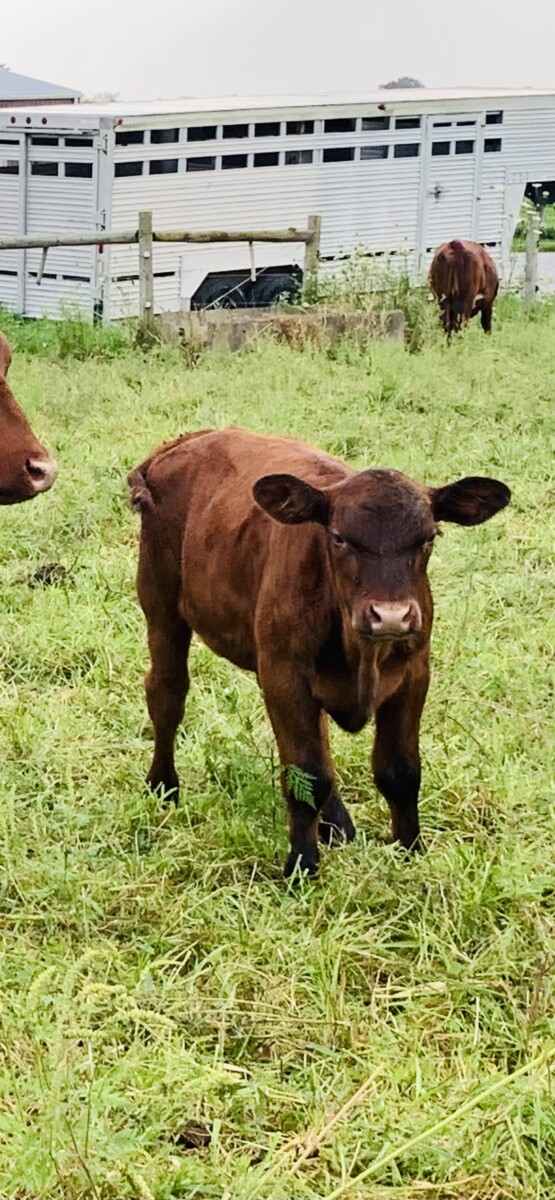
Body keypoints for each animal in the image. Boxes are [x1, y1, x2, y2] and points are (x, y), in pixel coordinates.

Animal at [129, 428, 510, 878]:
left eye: (429, 537)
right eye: (339, 537)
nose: (391, 616)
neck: (360, 654)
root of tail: (186, 441)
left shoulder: (414, 673)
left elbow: (400, 770)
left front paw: (409, 849)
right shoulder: (285, 675)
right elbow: (306, 776)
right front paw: (301, 864)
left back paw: (338, 823)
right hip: (161, 604)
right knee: (167, 692)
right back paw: (163, 785)